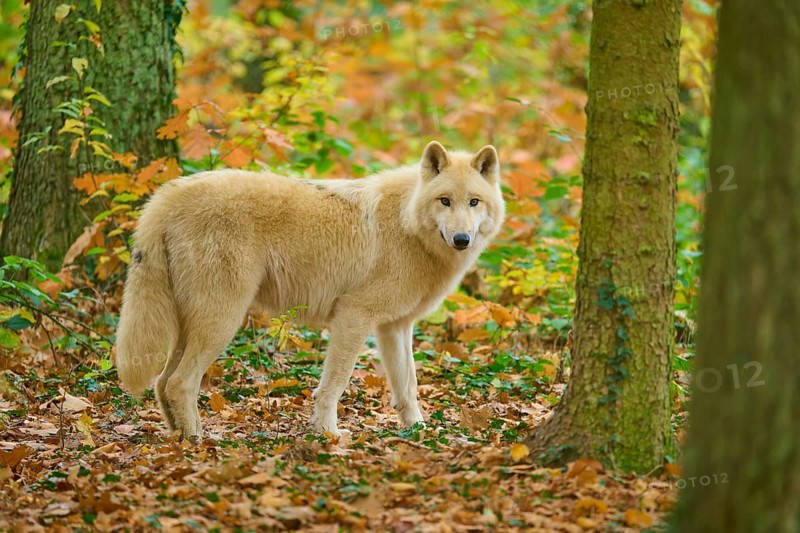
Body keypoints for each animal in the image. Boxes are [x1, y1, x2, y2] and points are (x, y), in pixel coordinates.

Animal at [114, 141, 505, 441]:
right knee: (180, 383)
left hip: (193, 324)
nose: (461, 239)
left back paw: (177, 437)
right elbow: (334, 384)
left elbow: (407, 386)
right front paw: (328, 434)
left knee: (162, 382)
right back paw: (198, 440)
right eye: (444, 201)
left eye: (473, 202)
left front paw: (419, 431)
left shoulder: (395, 326)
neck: (408, 224)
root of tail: (165, 197)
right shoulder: (353, 317)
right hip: (221, 322)